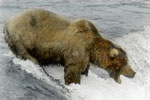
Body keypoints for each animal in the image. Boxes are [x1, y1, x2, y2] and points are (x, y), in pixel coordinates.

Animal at [3, 9, 135, 85]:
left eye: (127, 61)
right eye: (124, 63)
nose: (133, 73)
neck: (92, 48)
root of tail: (7, 21)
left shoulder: (86, 56)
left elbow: (84, 69)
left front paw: (85, 74)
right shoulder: (78, 50)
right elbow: (73, 71)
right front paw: (74, 83)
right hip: (21, 36)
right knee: (26, 53)